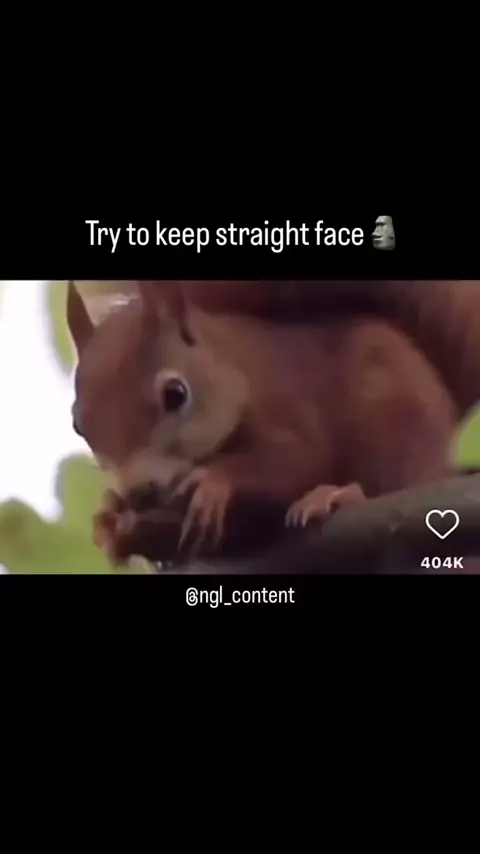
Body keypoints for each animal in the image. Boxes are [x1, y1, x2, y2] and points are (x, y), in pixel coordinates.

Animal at [67, 280, 459, 560]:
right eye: (78, 426)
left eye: (176, 394)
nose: (137, 492)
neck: (234, 368)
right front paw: (113, 523)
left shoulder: (288, 405)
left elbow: (299, 459)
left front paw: (213, 480)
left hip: (395, 416)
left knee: (397, 479)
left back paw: (339, 497)